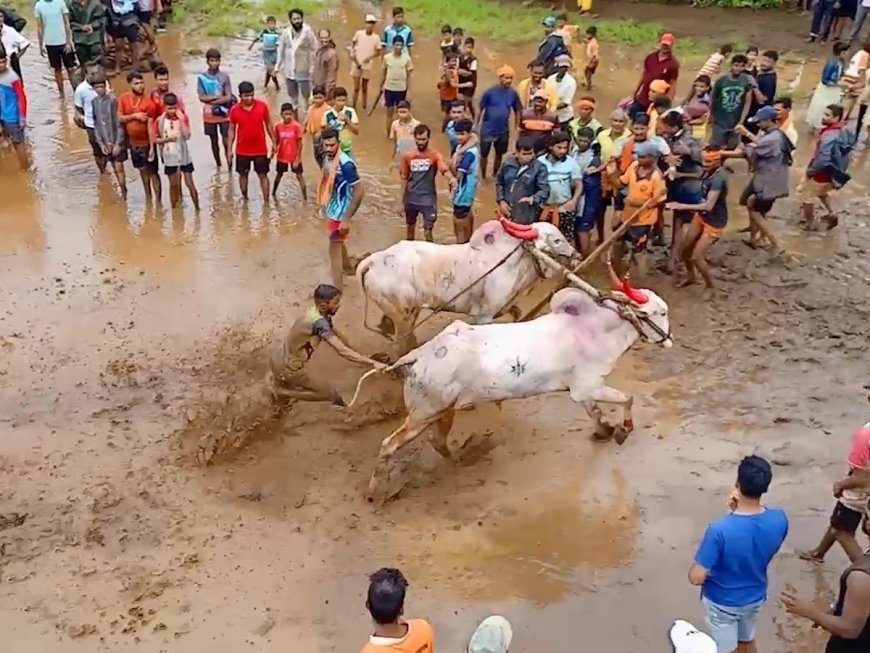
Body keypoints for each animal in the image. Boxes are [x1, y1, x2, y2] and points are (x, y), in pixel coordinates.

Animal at [350, 282, 676, 502]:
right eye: (660, 312)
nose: (669, 340)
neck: (598, 329)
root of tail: (417, 355)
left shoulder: (580, 391)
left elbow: (595, 413)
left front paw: (604, 431)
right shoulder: (590, 385)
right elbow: (627, 399)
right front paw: (622, 430)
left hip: (442, 411)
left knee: (437, 442)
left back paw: (462, 459)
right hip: (423, 414)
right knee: (389, 445)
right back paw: (374, 493)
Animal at [356, 219, 580, 352]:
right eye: (557, 240)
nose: (576, 254)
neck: (514, 263)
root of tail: (371, 262)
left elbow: (516, 313)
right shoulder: (484, 315)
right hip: (403, 314)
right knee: (402, 341)